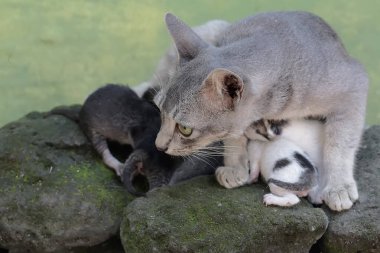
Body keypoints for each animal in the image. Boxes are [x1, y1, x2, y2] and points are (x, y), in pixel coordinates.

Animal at [154, 10, 368, 211]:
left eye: (185, 129)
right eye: (160, 111)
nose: (158, 146)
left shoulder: (354, 85)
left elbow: (339, 144)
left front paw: (338, 187)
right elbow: (234, 136)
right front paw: (235, 168)